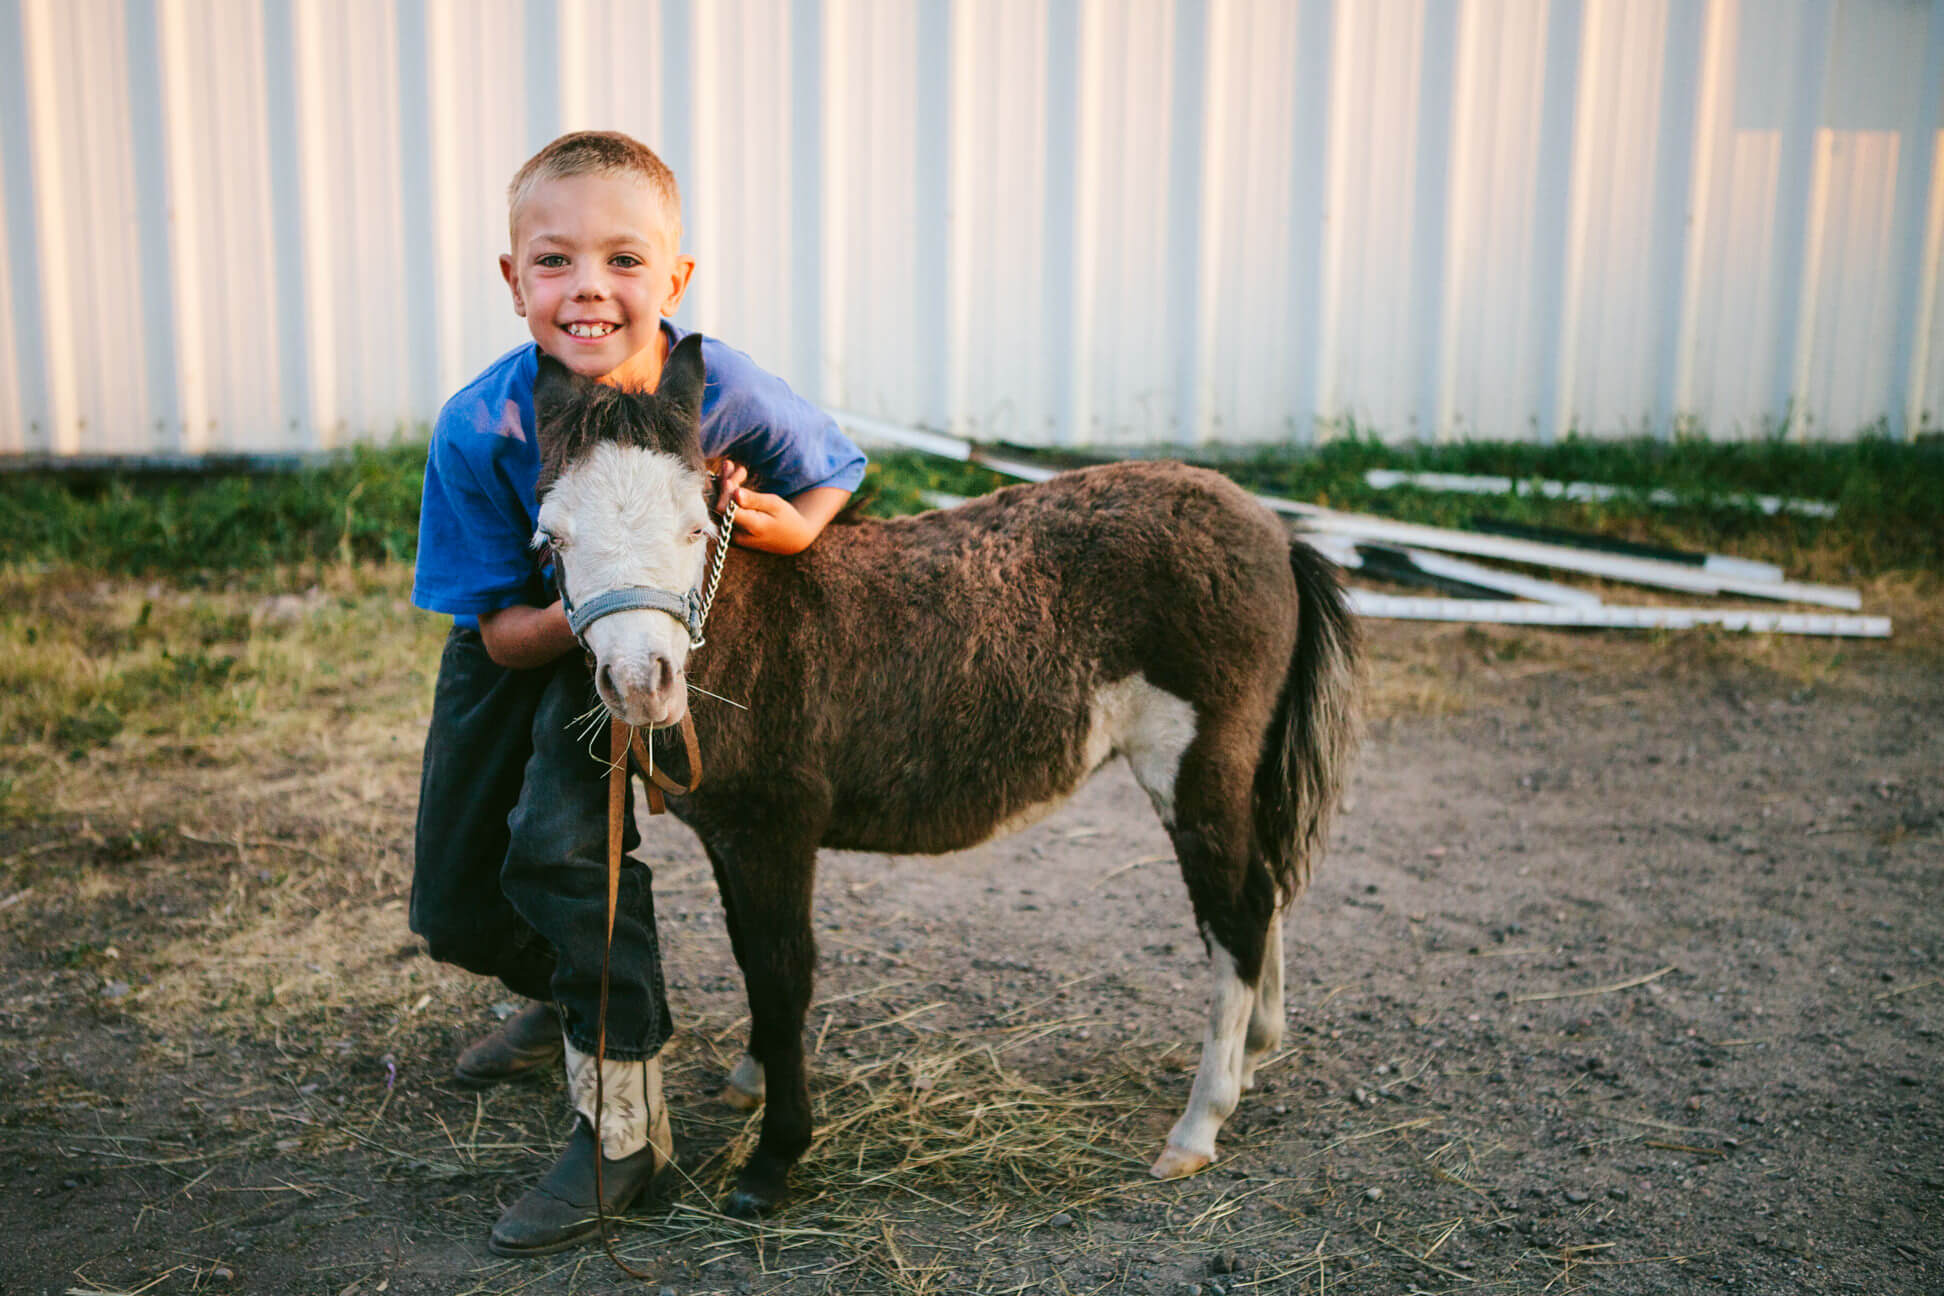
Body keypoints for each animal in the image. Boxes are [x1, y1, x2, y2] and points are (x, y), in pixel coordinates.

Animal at [524, 334, 1360, 1220]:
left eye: (694, 527)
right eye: (551, 540)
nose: (639, 684)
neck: (748, 630)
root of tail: (1273, 532)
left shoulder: (774, 834)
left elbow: (784, 976)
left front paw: (775, 1157)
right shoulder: (730, 838)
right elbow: (751, 958)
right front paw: (752, 1080)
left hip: (1194, 767)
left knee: (1237, 913)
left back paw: (1199, 1125)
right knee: (1266, 890)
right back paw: (1257, 1050)